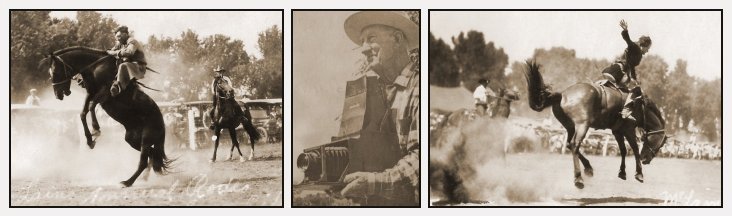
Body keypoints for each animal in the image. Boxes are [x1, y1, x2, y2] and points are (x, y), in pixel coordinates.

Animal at [41, 46, 172, 187]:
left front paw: (96, 130)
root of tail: (162, 124)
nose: (57, 95)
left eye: (56, 72)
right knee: (152, 156)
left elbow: (91, 107)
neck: (95, 67)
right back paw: (143, 178)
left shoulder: (105, 92)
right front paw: (90, 140)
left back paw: (127, 182)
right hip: (132, 139)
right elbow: (83, 113)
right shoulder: (90, 93)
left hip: (146, 140)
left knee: (144, 161)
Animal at [524, 60, 668, 189]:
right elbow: (635, 148)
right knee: (575, 144)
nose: (646, 159)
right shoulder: (628, 130)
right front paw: (639, 174)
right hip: (582, 125)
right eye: (661, 144)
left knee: (569, 144)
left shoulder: (617, 131)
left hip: (570, 127)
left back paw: (588, 168)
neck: (640, 108)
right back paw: (578, 178)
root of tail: (562, 95)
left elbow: (623, 150)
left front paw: (622, 172)